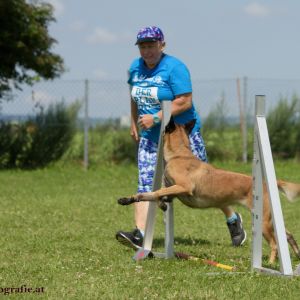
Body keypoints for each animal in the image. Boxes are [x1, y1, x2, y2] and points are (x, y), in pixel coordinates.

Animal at [118, 118, 300, 264]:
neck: (179, 155)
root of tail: (265, 182)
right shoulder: (172, 190)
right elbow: (147, 195)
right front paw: (127, 199)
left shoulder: (183, 187)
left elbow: (156, 194)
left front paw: (159, 201)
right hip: (268, 220)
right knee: (287, 235)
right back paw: (297, 254)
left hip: (263, 222)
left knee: (275, 244)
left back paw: (269, 264)